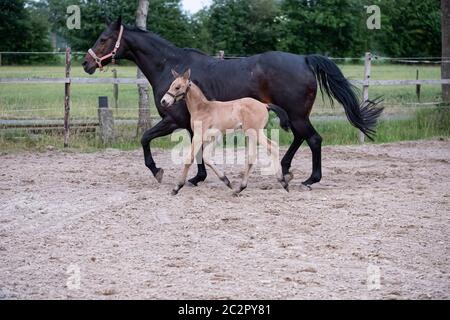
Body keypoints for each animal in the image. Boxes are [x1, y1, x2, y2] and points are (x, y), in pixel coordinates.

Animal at [162, 68, 292, 195]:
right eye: (171, 85)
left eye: (177, 87)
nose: (163, 101)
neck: (202, 109)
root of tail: (264, 105)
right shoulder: (213, 137)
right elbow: (206, 158)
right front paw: (226, 181)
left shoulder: (198, 136)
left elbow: (189, 159)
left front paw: (177, 187)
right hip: (251, 134)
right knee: (253, 156)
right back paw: (241, 188)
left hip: (255, 132)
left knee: (272, 147)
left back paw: (282, 182)